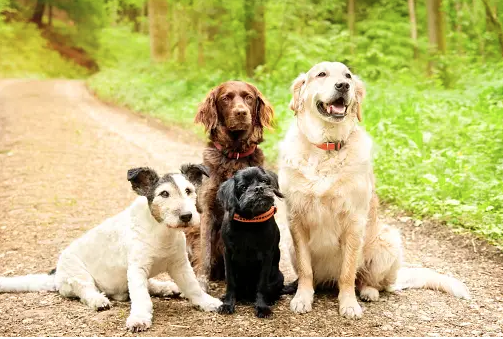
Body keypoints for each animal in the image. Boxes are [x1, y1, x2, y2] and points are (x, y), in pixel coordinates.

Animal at [193, 81, 274, 288]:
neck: (235, 155)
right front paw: (201, 282)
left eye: (249, 98)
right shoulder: (207, 209)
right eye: (226, 98)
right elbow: (205, 252)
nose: (241, 112)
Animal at [218, 167, 288, 318]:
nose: (259, 188)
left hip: (279, 277)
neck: (249, 222)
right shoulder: (227, 253)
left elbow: (261, 285)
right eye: (243, 187)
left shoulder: (267, 255)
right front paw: (228, 304)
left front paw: (262, 307)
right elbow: (230, 282)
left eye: (264, 181)